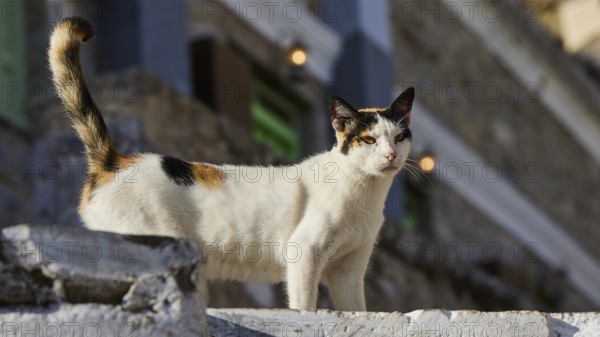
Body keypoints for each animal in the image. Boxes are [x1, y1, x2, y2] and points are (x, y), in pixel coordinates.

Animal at [49, 16, 414, 310]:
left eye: (398, 137)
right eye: (369, 140)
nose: (390, 155)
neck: (366, 195)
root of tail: (115, 160)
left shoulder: (348, 272)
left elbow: (357, 310)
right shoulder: (305, 253)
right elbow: (305, 306)